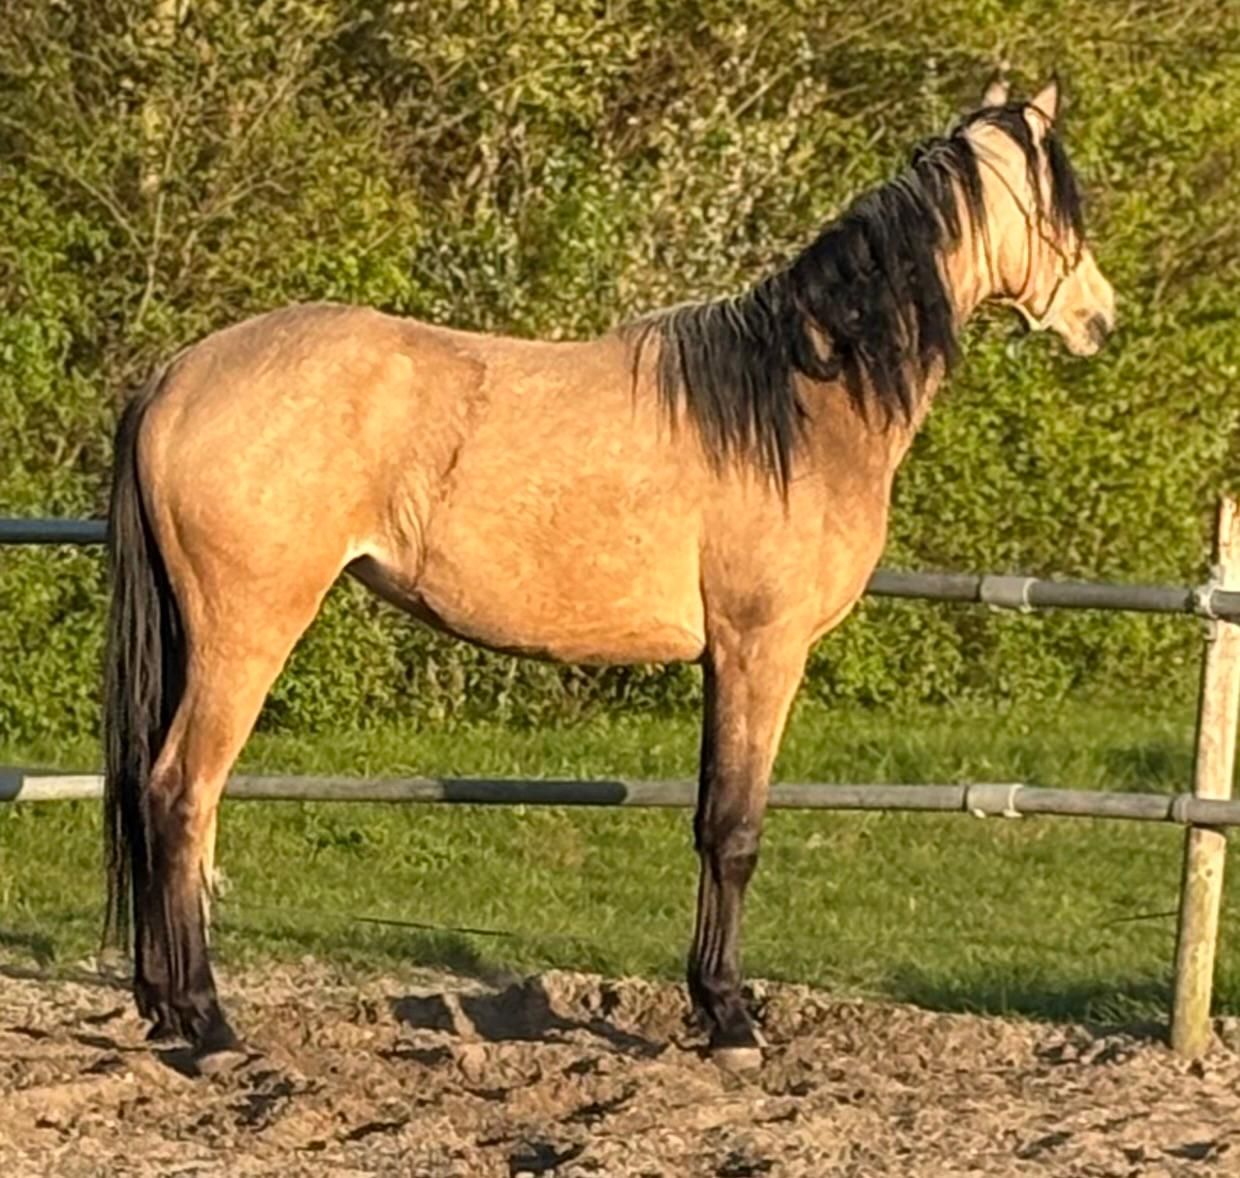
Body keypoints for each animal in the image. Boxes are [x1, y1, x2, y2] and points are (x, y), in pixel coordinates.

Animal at [103, 76, 1115, 1067]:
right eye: (1061, 206)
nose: (1101, 317)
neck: (796, 399)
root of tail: (174, 379)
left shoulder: (724, 660)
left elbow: (707, 820)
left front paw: (709, 1007)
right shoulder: (762, 650)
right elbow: (736, 830)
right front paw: (731, 1022)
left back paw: (166, 1011)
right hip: (248, 631)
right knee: (181, 794)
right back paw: (209, 1027)